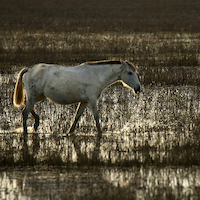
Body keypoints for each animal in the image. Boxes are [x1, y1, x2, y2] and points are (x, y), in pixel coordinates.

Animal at [13, 60, 141, 137]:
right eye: (130, 73)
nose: (138, 88)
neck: (97, 75)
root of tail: (29, 69)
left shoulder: (84, 101)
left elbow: (77, 116)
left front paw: (69, 132)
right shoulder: (92, 100)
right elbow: (96, 117)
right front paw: (100, 133)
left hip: (38, 96)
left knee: (26, 105)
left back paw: (36, 122)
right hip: (34, 96)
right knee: (24, 112)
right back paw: (26, 131)